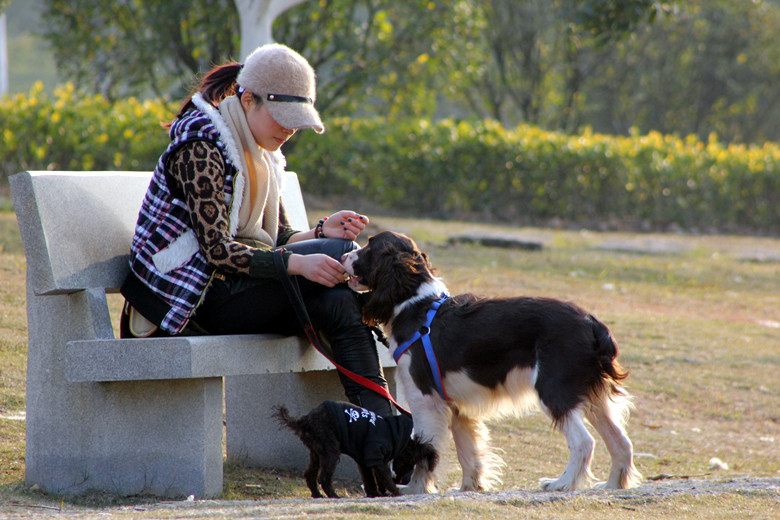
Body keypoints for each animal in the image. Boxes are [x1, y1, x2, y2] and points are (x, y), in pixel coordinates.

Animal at [344, 233, 644, 496]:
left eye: (369, 245)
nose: (345, 254)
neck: (415, 305)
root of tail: (591, 323)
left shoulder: (425, 399)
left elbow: (425, 448)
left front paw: (416, 488)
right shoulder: (457, 406)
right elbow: (468, 451)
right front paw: (470, 487)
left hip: (554, 389)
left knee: (584, 442)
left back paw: (562, 483)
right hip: (592, 395)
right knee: (621, 441)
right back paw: (612, 485)